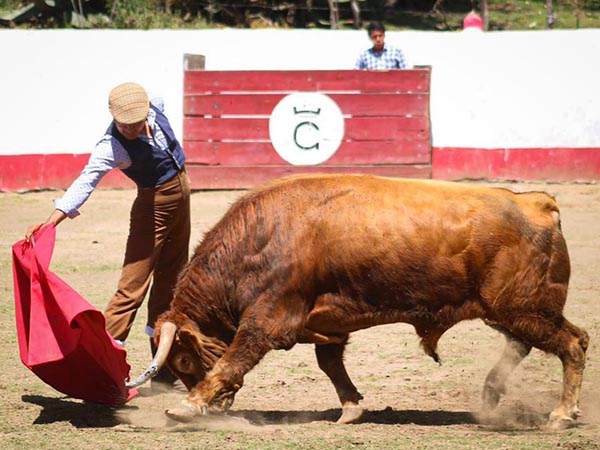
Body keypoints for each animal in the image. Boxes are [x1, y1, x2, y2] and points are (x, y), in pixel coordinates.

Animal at [127, 173, 592, 428]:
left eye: (182, 359)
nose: (220, 407)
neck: (259, 237)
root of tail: (537, 203)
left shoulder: (270, 318)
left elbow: (233, 359)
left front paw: (187, 406)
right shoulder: (328, 324)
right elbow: (330, 364)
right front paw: (350, 409)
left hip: (522, 306)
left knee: (572, 343)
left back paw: (560, 415)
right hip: (511, 310)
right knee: (531, 343)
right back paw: (492, 396)